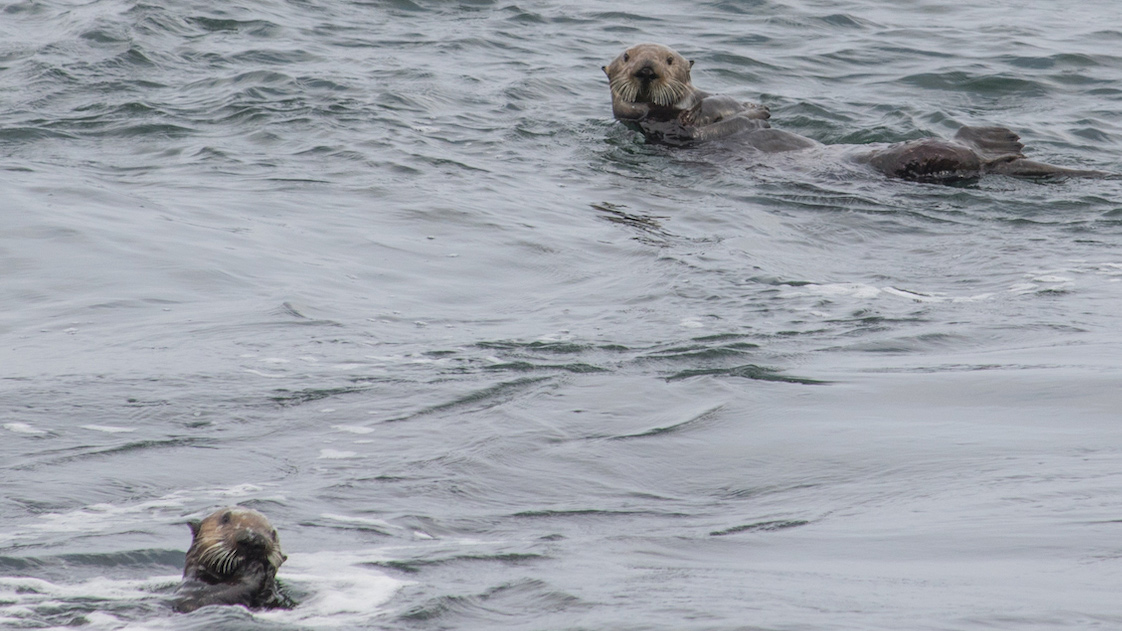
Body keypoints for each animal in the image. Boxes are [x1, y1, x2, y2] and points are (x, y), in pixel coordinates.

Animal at [605, 42, 1104, 180]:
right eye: (628, 56)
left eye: (669, 58)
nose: (647, 69)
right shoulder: (670, 130)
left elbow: (733, 104)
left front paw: (758, 109)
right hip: (919, 159)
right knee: (971, 160)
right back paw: (1002, 147)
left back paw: (1001, 136)